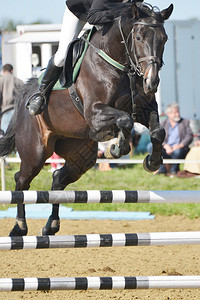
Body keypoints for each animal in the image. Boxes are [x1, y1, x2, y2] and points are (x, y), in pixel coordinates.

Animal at [0, 2, 172, 237]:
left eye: (164, 39)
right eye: (138, 38)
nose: (151, 82)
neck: (119, 64)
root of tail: (25, 94)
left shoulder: (145, 109)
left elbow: (157, 131)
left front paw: (152, 162)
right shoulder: (94, 113)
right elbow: (125, 120)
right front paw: (116, 147)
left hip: (80, 154)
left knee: (58, 178)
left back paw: (51, 225)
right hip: (35, 152)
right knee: (22, 181)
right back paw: (19, 226)